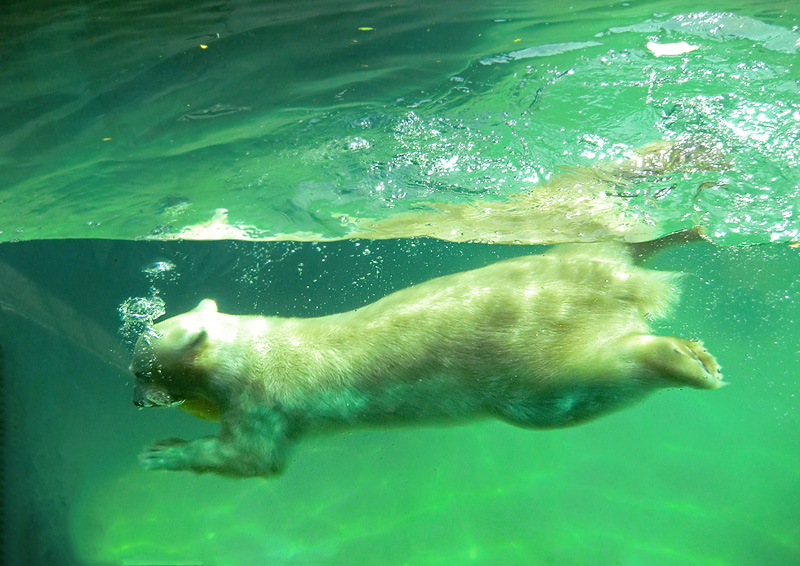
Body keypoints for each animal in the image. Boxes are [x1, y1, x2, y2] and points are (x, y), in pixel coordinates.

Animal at [133, 231, 724, 480]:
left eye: (141, 365)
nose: (138, 402)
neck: (252, 346)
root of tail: (617, 287)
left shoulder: (261, 402)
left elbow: (251, 458)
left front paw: (162, 452)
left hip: (529, 364)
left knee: (585, 381)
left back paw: (689, 361)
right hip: (570, 260)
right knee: (610, 247)